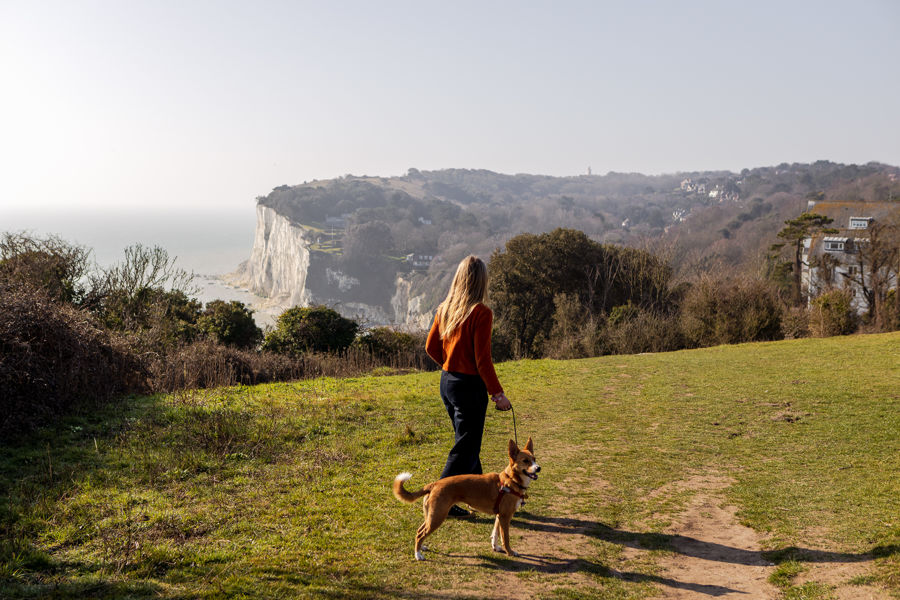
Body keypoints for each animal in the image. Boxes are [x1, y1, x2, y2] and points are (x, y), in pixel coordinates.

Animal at [394, 436, 540, 556]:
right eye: (525, 461)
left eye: (534, 459)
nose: (538, 468)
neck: (511, 480)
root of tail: (434, 484)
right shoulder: (505, 517)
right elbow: (506, 538)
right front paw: (510, 552)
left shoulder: (499, 516)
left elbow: (495, 534)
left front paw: (496, 548)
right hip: (438, 516)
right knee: (420, 534)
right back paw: (418, 555)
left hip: (431, 515)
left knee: (420, 530)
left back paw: (422, 547)